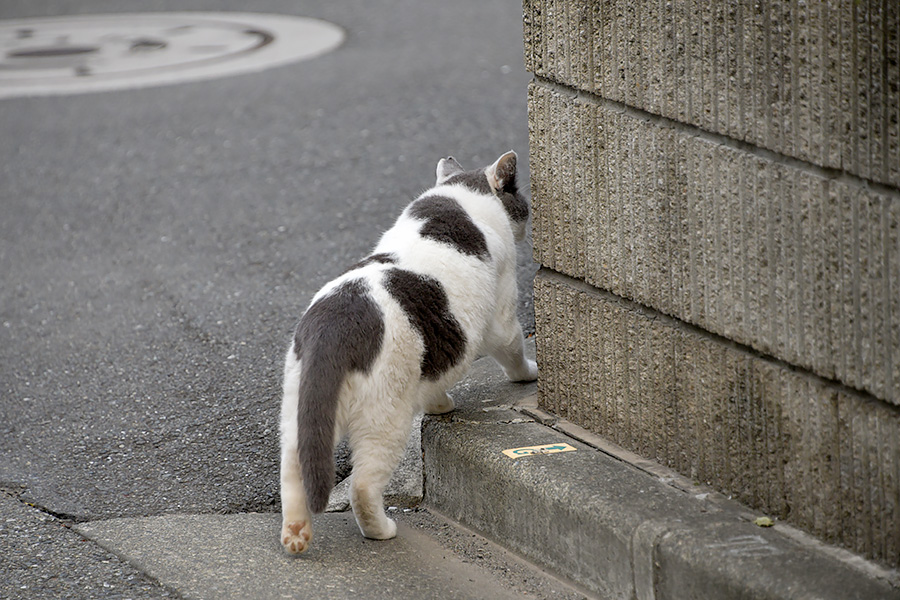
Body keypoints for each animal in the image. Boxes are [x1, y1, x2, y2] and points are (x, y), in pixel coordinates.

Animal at [278, 150, 536, 552]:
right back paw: (380, 530)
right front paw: (529, 374)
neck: (459, 197)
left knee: (293, 468)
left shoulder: (434, 358)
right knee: (362, 485)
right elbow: (512, 347)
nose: (527, 219)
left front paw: (440, 405)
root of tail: (334, 324)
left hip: (300, 411)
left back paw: (296, 535)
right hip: (386, 418)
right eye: (521, 200)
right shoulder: (503, 311)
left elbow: (435, 381)